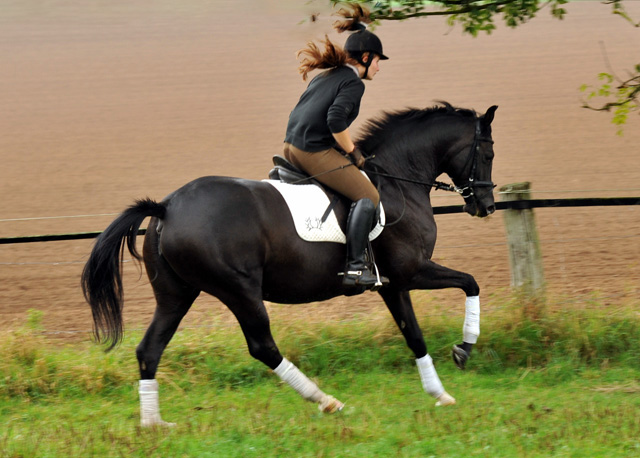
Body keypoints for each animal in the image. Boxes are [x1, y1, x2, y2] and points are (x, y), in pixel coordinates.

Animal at [82, 102, 498, 428]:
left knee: (149, 350)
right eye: (488, 154)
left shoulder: (393, 284)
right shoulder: (411, 271)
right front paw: (464, 348)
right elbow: (470, 282)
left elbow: (415, 335)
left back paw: (153, 424)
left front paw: (440, 393)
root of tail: (167, 206)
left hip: (176, 294)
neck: (398, 181)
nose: (487, 206)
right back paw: (327, 401)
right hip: (239, 290)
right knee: (262, 346)